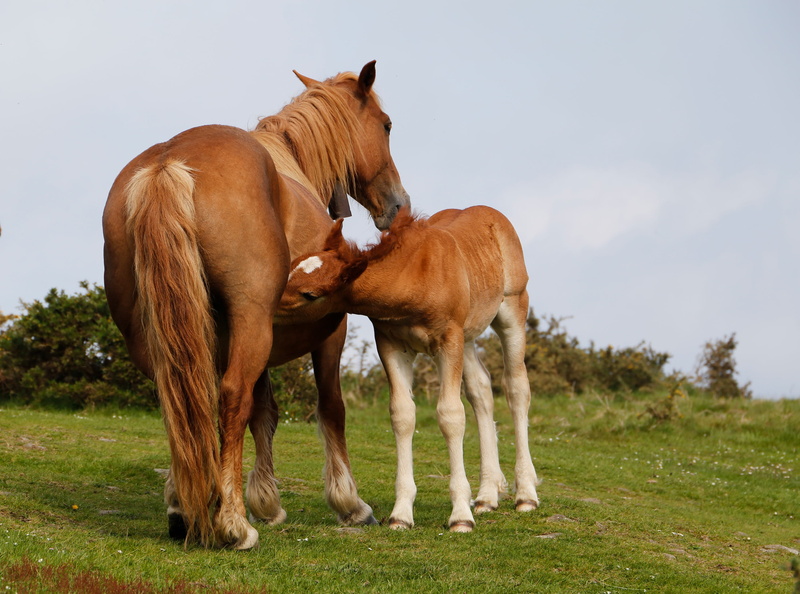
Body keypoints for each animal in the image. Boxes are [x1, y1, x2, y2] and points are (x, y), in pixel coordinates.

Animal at [102, 61, 410, 549]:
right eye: (386, 125)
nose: (398, 204)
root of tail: (168, 162)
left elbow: (265, 412)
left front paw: (266, 500)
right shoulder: (330, 329)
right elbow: (330, 409)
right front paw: (349, 504)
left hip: (159, 334)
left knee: (180, 402)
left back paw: (182, 507)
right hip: (252, 322)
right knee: (231, 397)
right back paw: (232, 523)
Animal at [276, 206, 540, 532]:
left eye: (310, 294)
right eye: (292, 268)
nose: (268, 302)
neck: (413, 277)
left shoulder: (448, 341)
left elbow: (450, 415)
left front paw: (460, 516)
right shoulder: (391, 344)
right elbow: (402, 415)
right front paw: (401, 514)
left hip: (511, 311)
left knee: (516, 388)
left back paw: (526, 494)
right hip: (467, 336)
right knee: (481, 390)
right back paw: (487, 496)